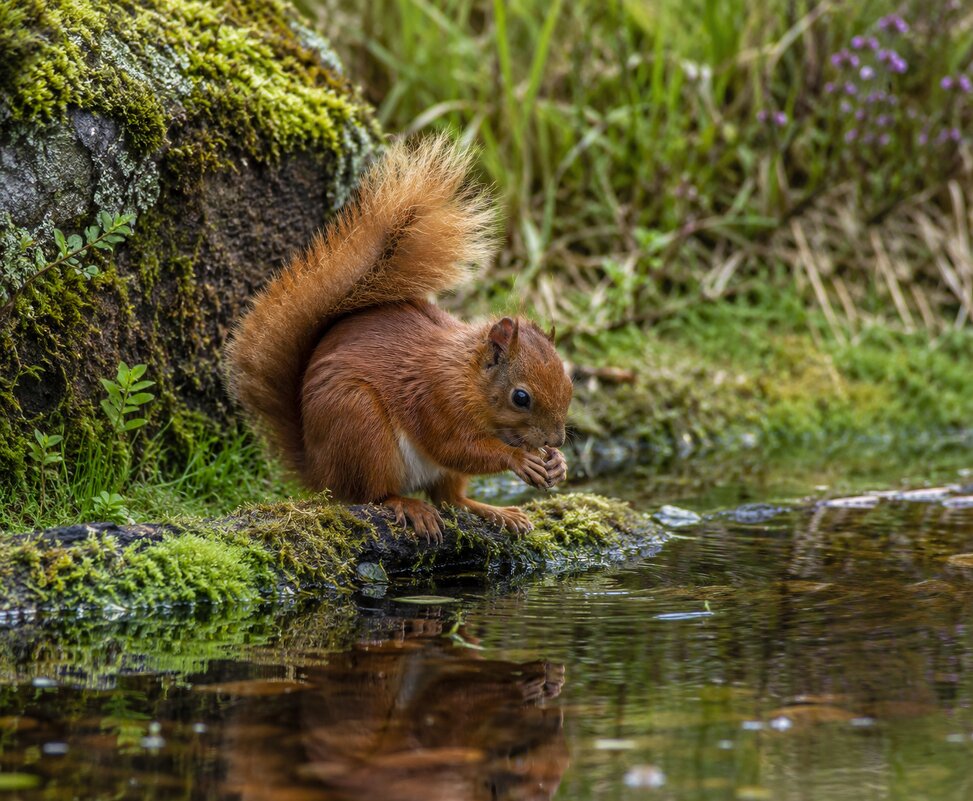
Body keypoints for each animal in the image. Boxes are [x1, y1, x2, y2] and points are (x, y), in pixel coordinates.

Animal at [224, 135, 572, 542]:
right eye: (521, 398)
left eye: (570, 385)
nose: (555, 440)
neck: (466, 375)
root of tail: (320, 471)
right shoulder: (436, 398)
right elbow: (455, 447)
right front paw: (519, 459)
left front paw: (558, 464)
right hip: (361, 425)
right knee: (373, 495)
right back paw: (407, 505)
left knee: (450, 498)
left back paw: (492, 510)